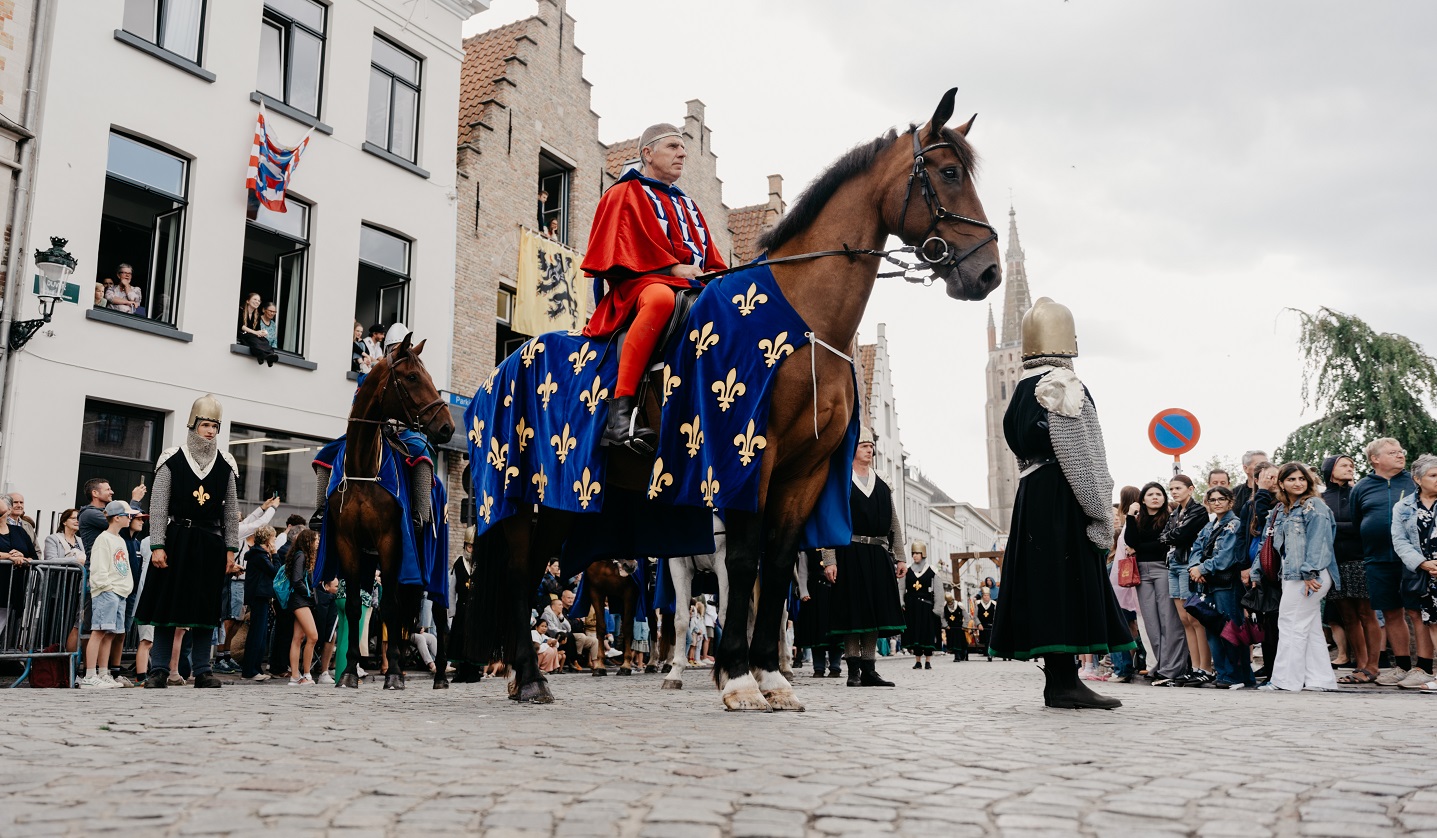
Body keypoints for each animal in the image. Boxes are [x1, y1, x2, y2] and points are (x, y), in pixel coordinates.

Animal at [326, 336, 454, 695]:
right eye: (411, 377)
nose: (447, 427)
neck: (363, 467)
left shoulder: (391, 543)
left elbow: (392, 608)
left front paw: (395, 673)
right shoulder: (350, 546)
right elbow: (354, 607)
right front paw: (349, 672)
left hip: (435, 562)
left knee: (439, 615)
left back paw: (440, 675)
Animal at [482, 90, 1000, 707]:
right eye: (948, 173)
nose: (989, 272)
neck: (803, 316)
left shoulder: (804, 472)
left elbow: (773, 568)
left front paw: (772, 677)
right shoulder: (748, 454)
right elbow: (744, 564)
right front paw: (736, 676)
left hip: (562, 500)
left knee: (530, 566)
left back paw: (523, 677)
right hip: (528, 489)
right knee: (520, 570)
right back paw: (530, 675)